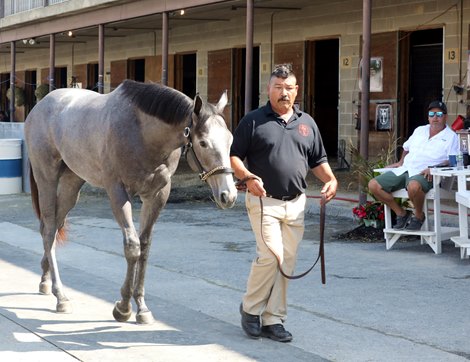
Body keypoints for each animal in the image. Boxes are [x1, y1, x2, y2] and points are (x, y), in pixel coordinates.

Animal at [24, 80, 237, 324]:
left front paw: (142, 307)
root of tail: (39, 107)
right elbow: (132, 246)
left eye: (230, 139)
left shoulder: (157, 195)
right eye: (202, 143)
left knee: (54, 226)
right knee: (49, 229)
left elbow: (144, 247)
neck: (142, 133)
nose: (229, 195)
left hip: (72, 183)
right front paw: (123, 307)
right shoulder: (117, 191)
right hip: (46, 177)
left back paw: (45, 279)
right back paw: (61, 296)